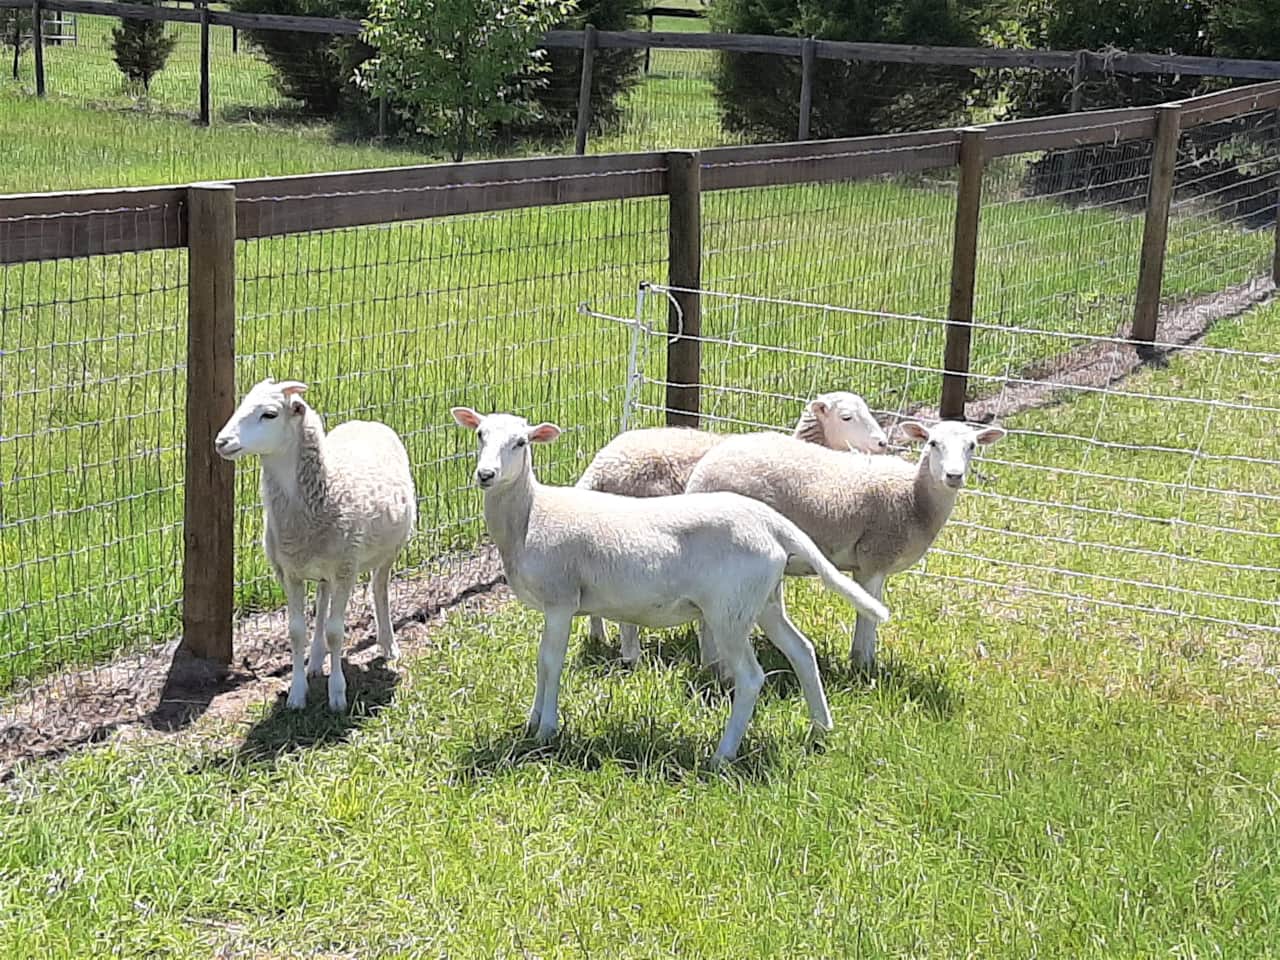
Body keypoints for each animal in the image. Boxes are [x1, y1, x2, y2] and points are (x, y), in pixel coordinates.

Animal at [215, 378, 417, 712]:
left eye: (269, 414)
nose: (221, 442)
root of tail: (366, 422)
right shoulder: (289, 572)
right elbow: (296, 632)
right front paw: (298, 693)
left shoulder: (346, 568)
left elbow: (337, 632)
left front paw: (337, 694)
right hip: (324, 567)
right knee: (323, 599)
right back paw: (316, 658)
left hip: (391, 548)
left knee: (379, 589)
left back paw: (388, 645)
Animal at [685, 420, 1005, 671]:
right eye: (933, 443)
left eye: (972, 445)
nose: (954, 475)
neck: (915, 498)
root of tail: (701, 473)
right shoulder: (875, 556)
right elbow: (869, 614)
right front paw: (863, 665)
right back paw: (715, 667)